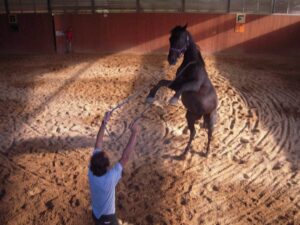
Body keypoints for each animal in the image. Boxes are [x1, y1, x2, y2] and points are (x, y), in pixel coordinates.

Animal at [146, 24, 217, 157]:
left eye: (180, 39)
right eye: (170, 39)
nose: (171, 60)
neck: (192, 65)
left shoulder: (192, 85)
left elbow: (183, 87)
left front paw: (173, 99)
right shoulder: (176, 84)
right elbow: (161, 82)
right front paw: (150, 96)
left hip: (210, 120)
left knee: (209, 135)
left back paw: (206, 153)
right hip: (191, 116)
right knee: (193, 133)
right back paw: (185, 152)